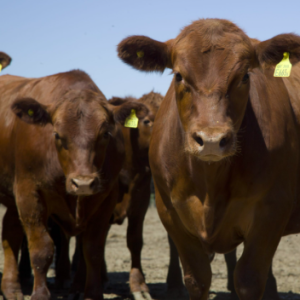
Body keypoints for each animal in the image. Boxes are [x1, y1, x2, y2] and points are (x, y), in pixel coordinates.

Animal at [0, 70, 149, 300]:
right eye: (57, 134)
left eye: (105, 134)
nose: (83, 183)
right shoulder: (29, 194)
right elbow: (42, 249)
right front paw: (40, 294)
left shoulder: (106, 197)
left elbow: (93, 249)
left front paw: (93, 293)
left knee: (10, 231)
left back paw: (11, 288)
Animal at [118, 19, 300, 300]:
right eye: (178, 76)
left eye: (245, 76)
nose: (212, 139)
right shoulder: (170, 211)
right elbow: (197, 279)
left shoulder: (272, 210)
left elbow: (248, 280)